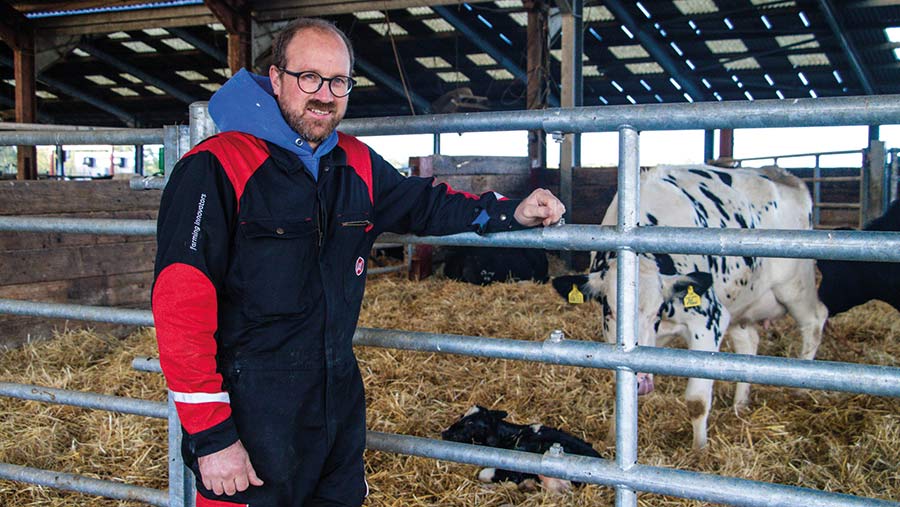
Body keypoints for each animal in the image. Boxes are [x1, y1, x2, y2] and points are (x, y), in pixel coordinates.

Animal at [556, 166, 828, 448]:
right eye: (608, 310)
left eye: (657, 310)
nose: (641, 382)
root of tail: (781, 174)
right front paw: (615, 437)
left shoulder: (710, 319)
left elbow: (696, 401)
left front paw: (700, 449)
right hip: (740, 303)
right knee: (749, 343)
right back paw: (740, 405)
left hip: (795, 286)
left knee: (815, 320)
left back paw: (801, 390)